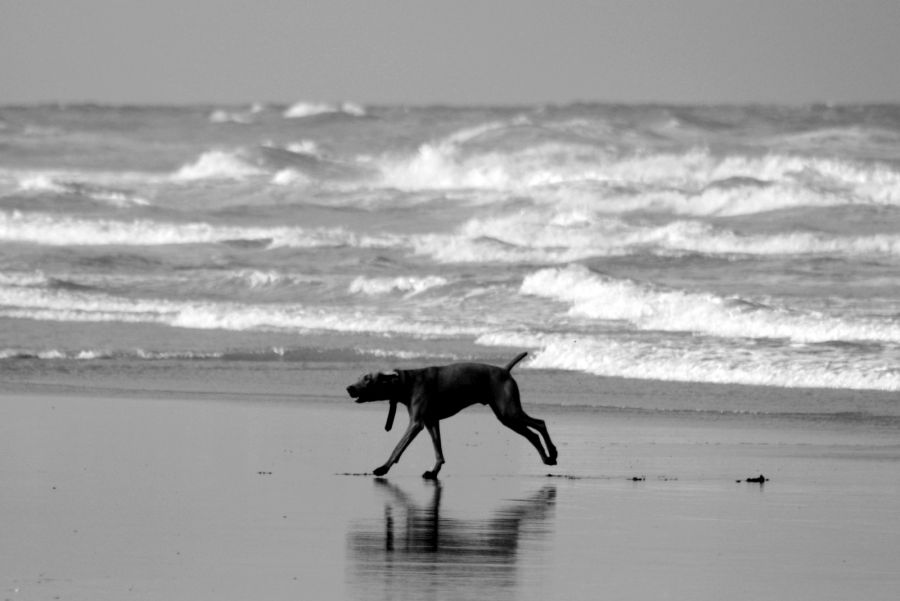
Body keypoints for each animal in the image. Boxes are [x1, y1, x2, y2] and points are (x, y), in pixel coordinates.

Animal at [350, 352, 556, 478]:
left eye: (367, 379)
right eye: (360, 377)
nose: (349, 388)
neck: (407, 383)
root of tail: (504, 370)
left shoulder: (417, 423)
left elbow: (397, 448)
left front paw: (383, 468)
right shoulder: (431, 421)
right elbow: (438, 451)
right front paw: (434, 472)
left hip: (508, 412)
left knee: (538, 427)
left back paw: (550, 455)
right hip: (506, 414)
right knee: (536, 429)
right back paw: (550, 456)